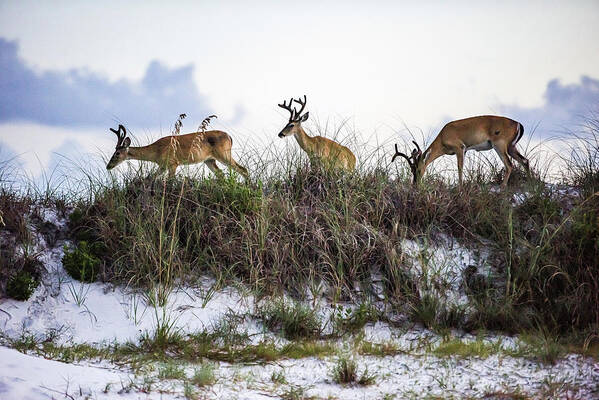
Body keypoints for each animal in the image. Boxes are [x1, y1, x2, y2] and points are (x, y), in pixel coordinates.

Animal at [105, 117, 248, 178]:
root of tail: (230, 137)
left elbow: (170, 182)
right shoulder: (162, 165)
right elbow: (150, 178)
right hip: (209, 160)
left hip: (224, 154)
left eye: (117, 153)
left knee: (243, 169)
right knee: (221, 174)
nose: (108, 166)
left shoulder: (173, 162)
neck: (156, 151)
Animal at [394, 115, 528, 188]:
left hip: (500, 146)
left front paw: (460, 187)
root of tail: (518, 124)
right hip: (511, 147)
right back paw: (531, 183)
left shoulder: (460, 148)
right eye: (412, 170)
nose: (415, 183)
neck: (443, 136)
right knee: (525, 161)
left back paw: (502, 187)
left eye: (418, 169)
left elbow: (460, 167)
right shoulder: (464, 151)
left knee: (509, 165)